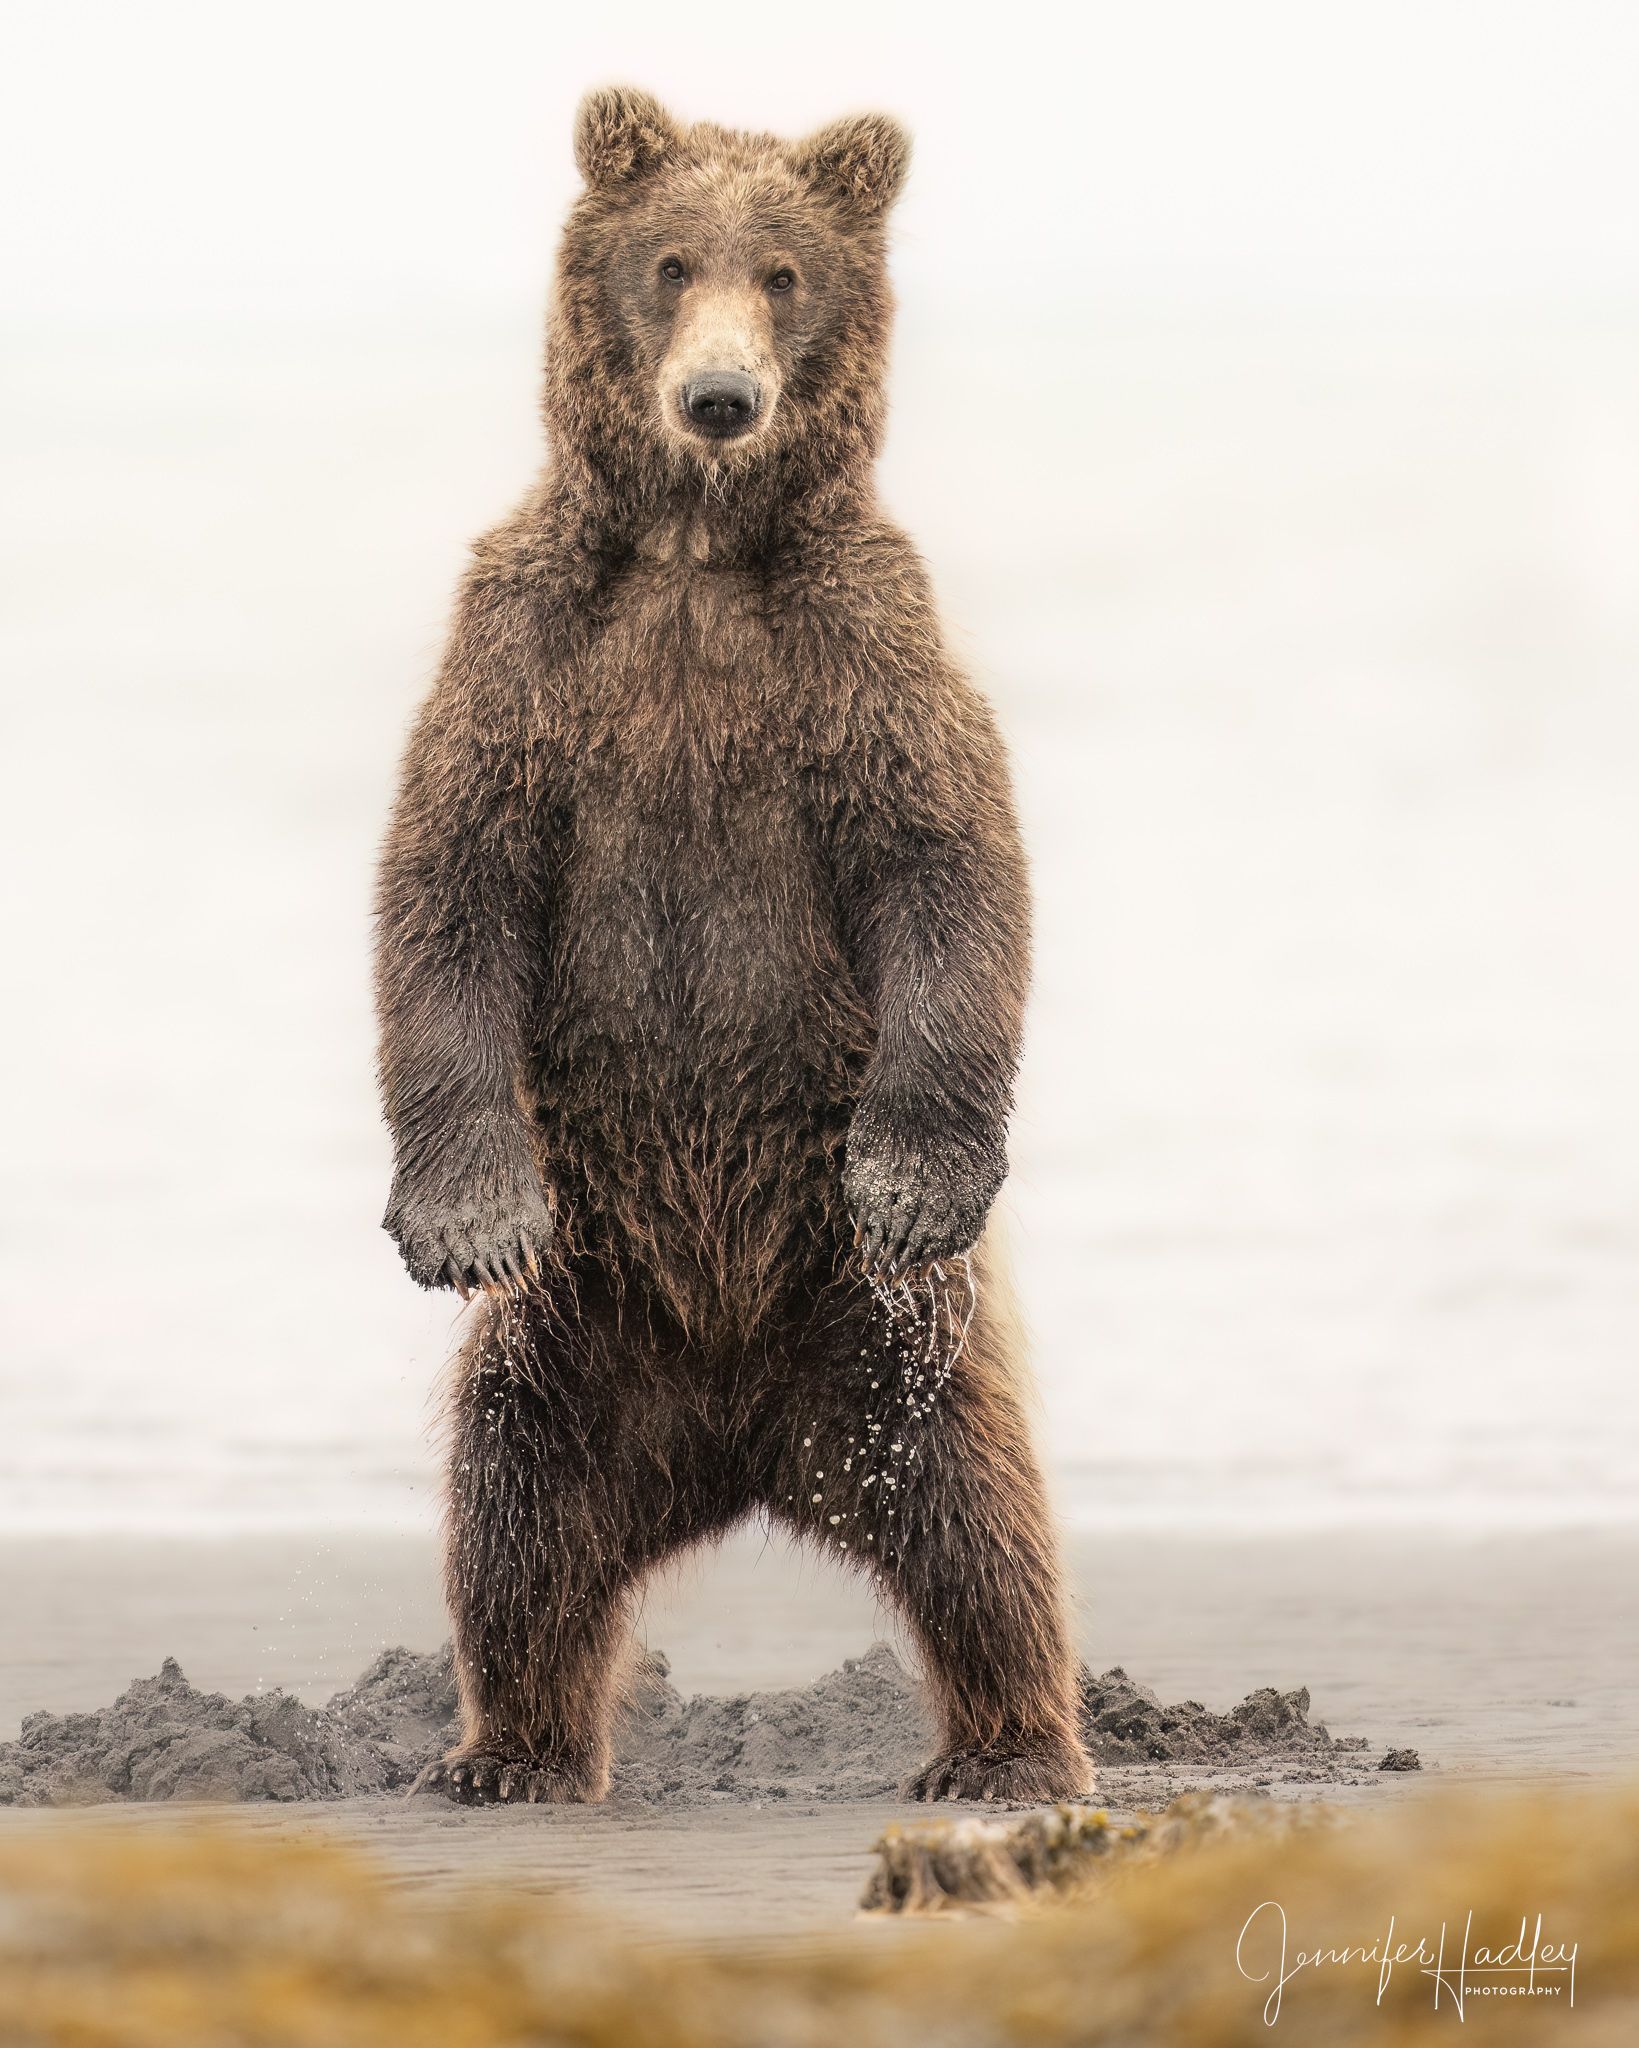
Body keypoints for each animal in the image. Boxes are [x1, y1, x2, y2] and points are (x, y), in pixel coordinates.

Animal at [373, 87, 1093, 1806]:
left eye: (782, 271)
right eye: (668, 262)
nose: (716, 399)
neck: (695, 556)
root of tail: (738, 1444)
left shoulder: (859, 647)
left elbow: (948, 863)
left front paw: (914, 1173)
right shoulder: (526, 649)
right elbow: (447, 885)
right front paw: (462, 1216)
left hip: (886, 1347)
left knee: (982, 1524)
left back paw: (1009, 1752)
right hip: (569, 1338)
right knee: (512, 1529)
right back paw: (510, 1750)